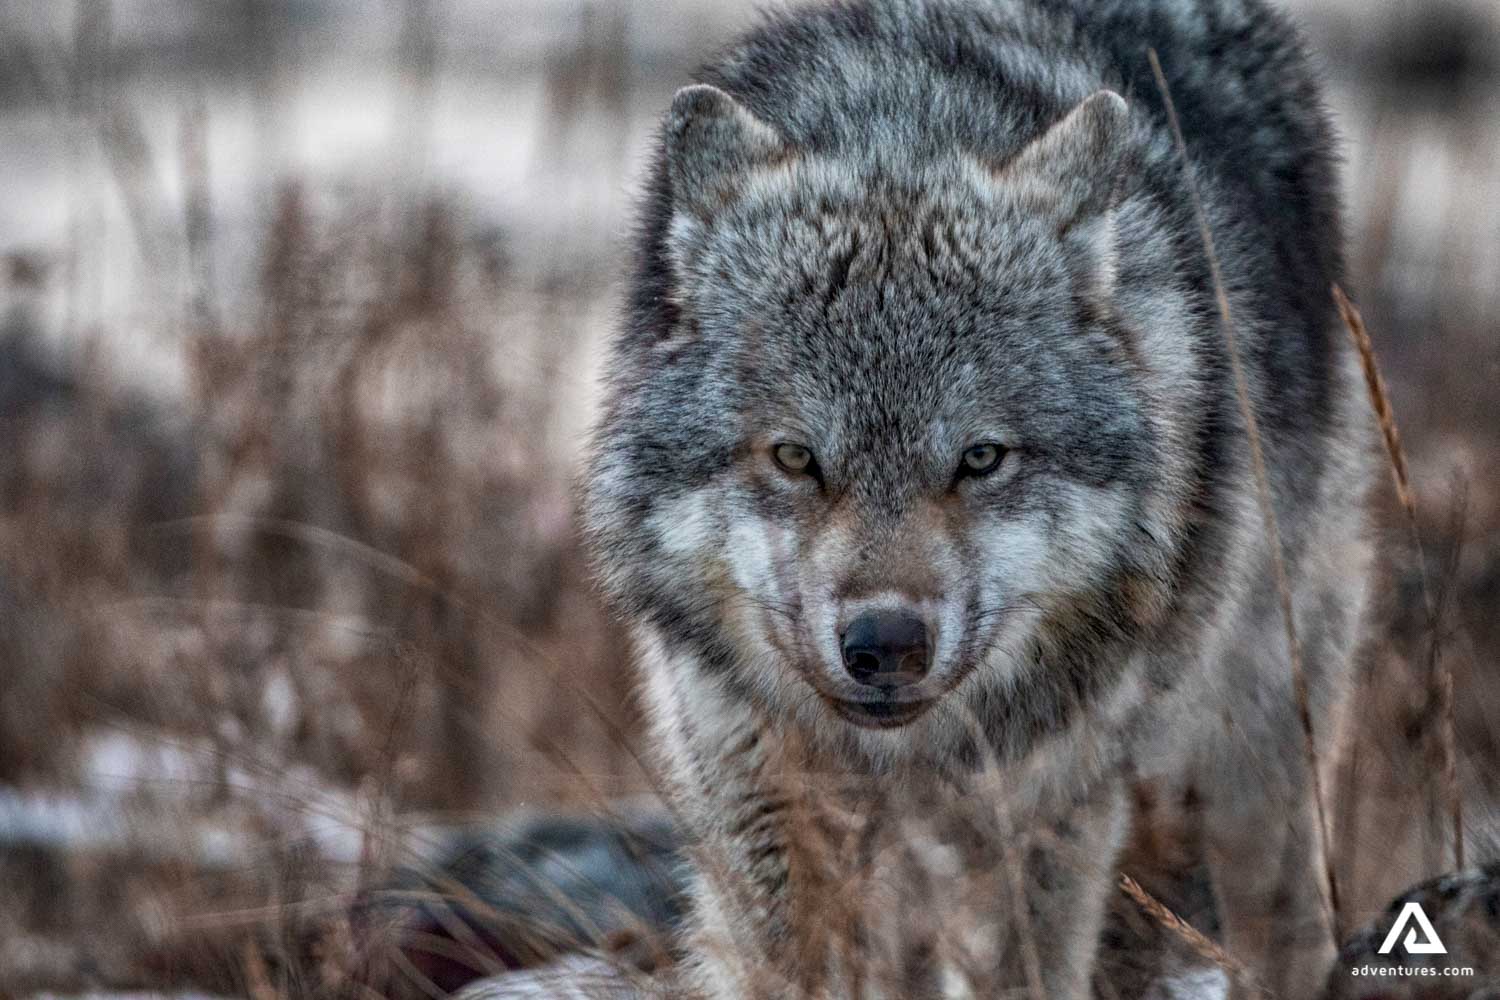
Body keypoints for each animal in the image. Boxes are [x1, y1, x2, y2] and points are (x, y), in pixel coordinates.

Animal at [583, 0, 1374, 995]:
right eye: (796, 457)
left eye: (981, 458)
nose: (885, 643)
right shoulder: (763, 814)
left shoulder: (1049, 815)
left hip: (1254, 746)